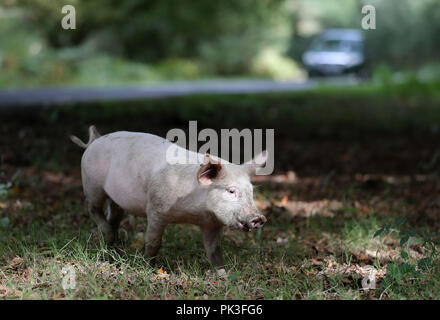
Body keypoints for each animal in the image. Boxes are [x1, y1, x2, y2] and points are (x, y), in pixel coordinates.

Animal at [70, 125, 268, 268]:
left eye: (251, 191)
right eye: (231, 191)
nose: (258, 217)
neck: (194, 214)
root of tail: (94, 141)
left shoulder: (211, 224)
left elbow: (215, 251)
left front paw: (222, 276)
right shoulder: (156, 209)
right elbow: (153, 242)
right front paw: (147, 267)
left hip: (117, 200)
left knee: (113, 217)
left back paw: (113, 245)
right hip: (92, 184)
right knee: (93, 209)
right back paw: (110, 238)